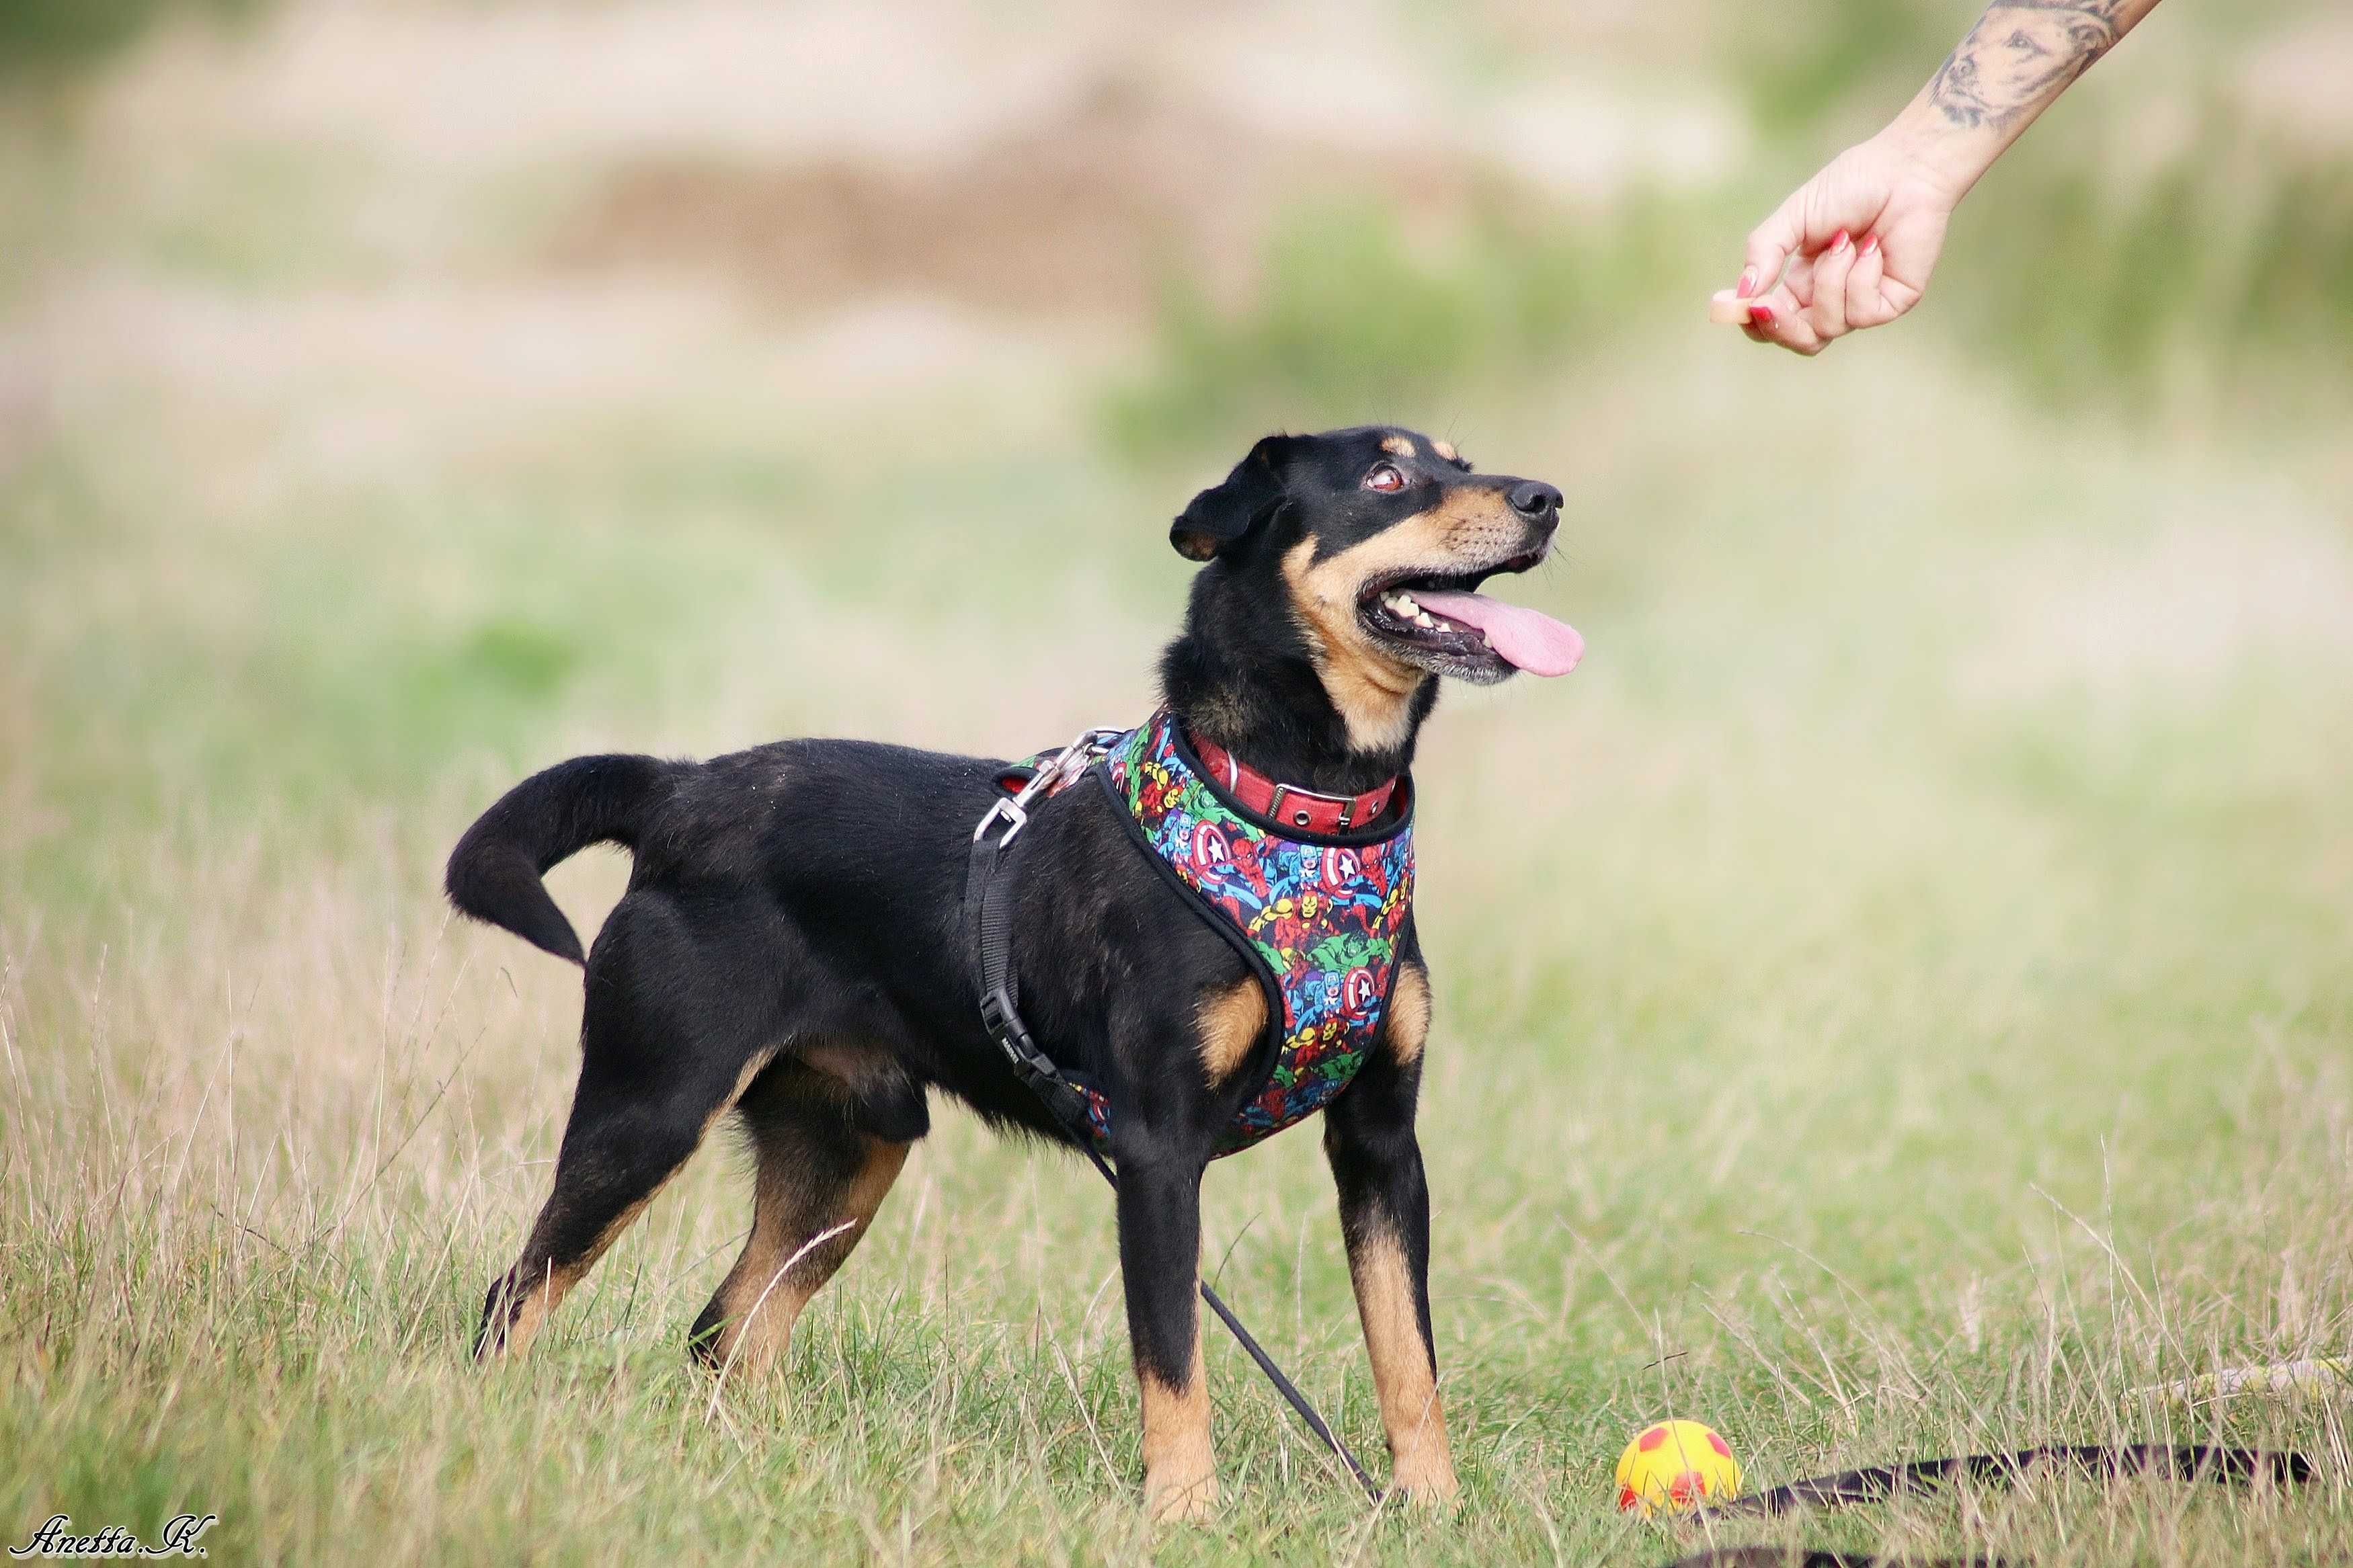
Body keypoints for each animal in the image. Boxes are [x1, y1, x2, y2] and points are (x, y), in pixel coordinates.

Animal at [442, 430, 1581, 1523]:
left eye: (1461, 462)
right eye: (1388, 476)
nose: (1546, 499)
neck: (1305, 806)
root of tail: (679, 792)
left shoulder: (1382, 1145)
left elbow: (1409, 1358)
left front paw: (1430, 1507)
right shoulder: (1159, 1152)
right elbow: (1174, 1360)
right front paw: (1185, 1514)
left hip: (845, 1155)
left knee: (726, 1332)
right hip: (650, 1112)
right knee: (517, 1296)